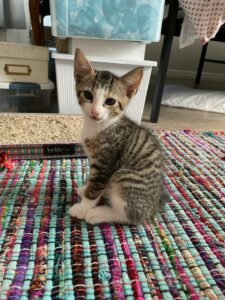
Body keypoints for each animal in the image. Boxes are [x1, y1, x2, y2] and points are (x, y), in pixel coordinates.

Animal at [68, 48, 167, 224]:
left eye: (110, 101)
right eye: (88, 95)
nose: (95, 112)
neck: (100, 125)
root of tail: (153, 208)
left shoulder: (105, 163)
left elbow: (96, 187)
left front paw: (83, 207)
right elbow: (93, 181)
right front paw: (85, 189)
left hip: (125, 177)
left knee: (131, 216)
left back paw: (99, 213)